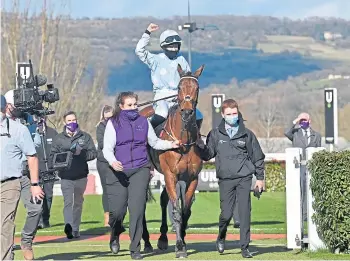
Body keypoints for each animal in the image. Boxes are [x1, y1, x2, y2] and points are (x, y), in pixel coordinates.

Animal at [139, 64, 205, 256]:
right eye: (179, 87)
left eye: (196, 88)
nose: (188, 112)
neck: (183, 140)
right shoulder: (170, 175)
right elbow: (176, 211)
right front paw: (180, 246)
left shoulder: (191, 178)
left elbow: (185, 211)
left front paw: (181, 239)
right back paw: (147, 241)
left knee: (163, 199)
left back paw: (162, 238)